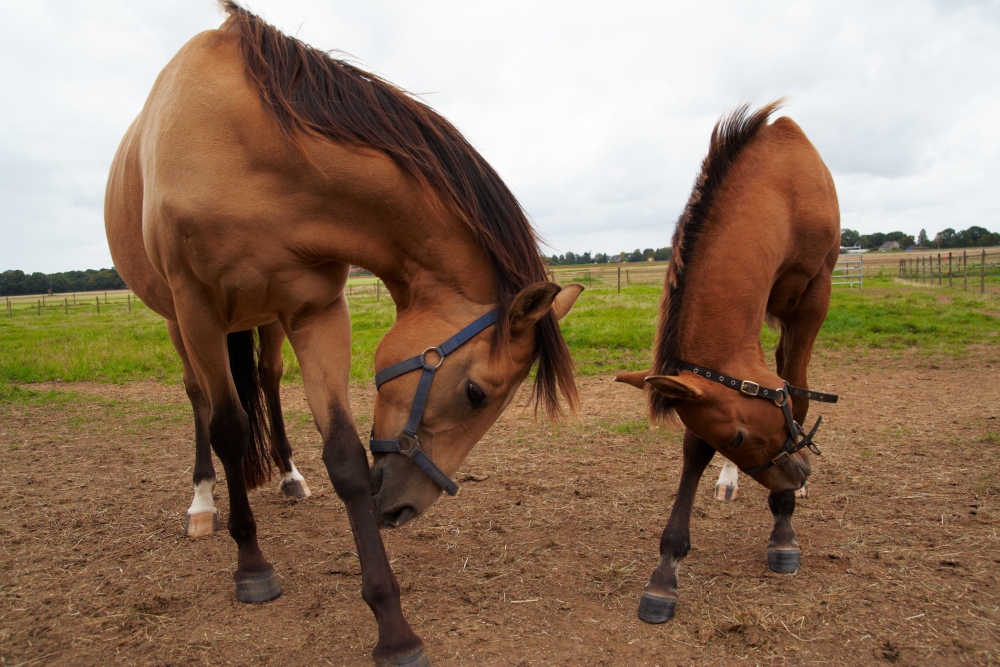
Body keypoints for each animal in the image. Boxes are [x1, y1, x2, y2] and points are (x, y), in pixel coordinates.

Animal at [102, 3, 584, 664]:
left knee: (267, 383)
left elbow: (347, 459)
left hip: (265, 322)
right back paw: (202, 504)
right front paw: (252, 567)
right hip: (181, 322)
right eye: (475, 394)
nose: (405, 509)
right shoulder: (196, 308)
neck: (248, 153)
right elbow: (229, 430)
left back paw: (287, 475)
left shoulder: (316, 312)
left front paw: (394, 628)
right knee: (202, 402)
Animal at [616, 100, 836, 628]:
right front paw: (665, 571)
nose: (798, 474)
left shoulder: (814, 297)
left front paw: (783, 525)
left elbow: (796, 391)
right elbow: (695, 451)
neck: (781, 191)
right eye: (732, 439)